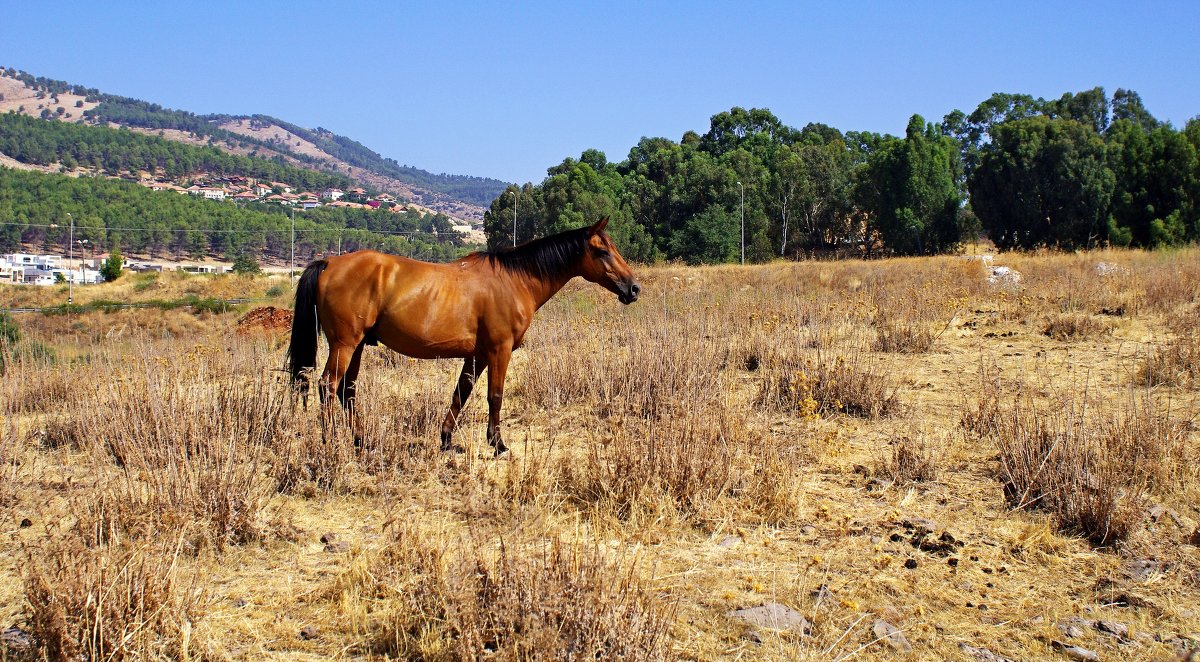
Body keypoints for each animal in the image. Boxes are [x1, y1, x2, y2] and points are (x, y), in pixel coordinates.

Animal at [284, 217, 638, 455]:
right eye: (602, 251)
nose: (633, 288)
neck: (514, 280)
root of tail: (329, 262)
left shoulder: (477, 355)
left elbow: (461, 393)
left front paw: (446, 439)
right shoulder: (499, 350)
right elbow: (495, 396)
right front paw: (498, 444)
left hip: (357, 346)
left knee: (347, 391)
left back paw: (361, 440)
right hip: (344, 344)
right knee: (327, 386)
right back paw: (331, 441)